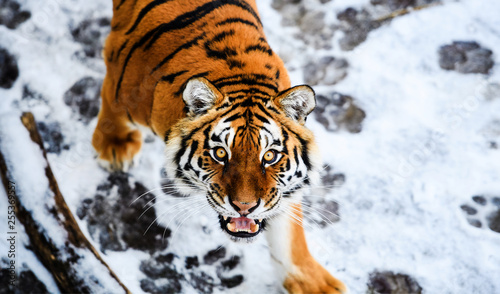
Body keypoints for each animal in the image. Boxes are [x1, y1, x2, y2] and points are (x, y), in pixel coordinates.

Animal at [92, 0, 346, 292]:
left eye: (270, 156)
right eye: (220, 153)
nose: (245, 207)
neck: (242, 75)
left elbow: (289, 236)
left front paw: (314, 283)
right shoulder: (119, 82)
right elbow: (112, 108)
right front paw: (115, 146)